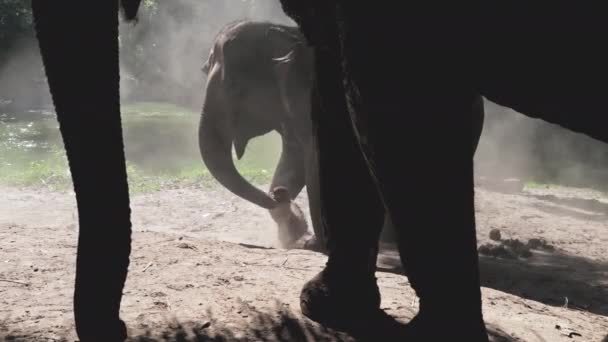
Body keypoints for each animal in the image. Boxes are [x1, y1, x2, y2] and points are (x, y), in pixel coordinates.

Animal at [198, 19, 484, 248]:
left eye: (234, 89)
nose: (280, 195)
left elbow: (315, 162)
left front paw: (315, 244)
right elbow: (293, 161)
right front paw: (296, 233)